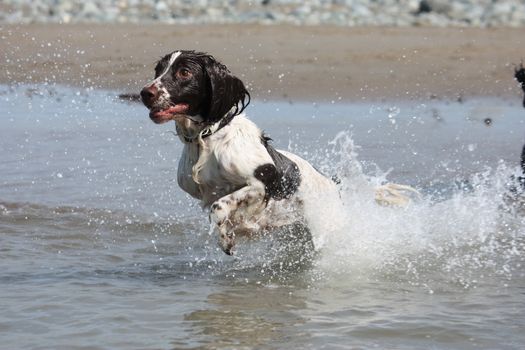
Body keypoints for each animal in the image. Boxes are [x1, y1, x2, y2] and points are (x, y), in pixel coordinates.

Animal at [141, 50, 412, 254]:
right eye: (158, 70)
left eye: (184, 72)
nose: (145, 93)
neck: (207, 139)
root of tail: (337, 186)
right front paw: (228, 234)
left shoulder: (263, 182)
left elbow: (220, 206)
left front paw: (227, 239)